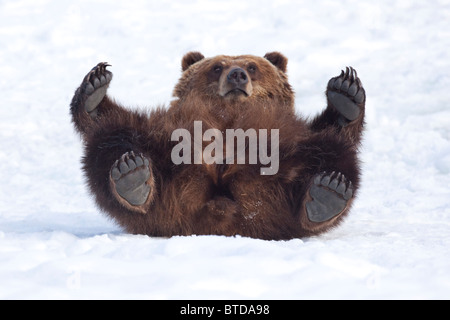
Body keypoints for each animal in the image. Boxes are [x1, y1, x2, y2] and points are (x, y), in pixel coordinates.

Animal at [70, 52, 366, 240]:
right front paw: (95, 87)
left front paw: (346, 94)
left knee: (329, 153)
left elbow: (332, 131)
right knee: (115, 139)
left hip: (284, 159)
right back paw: (130, 174)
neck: (228, 116)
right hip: (166, 152)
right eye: (217, 67)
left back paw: (327, 193)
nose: (237, 75)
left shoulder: (286, 131)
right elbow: (115, 129)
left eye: (252, 66)